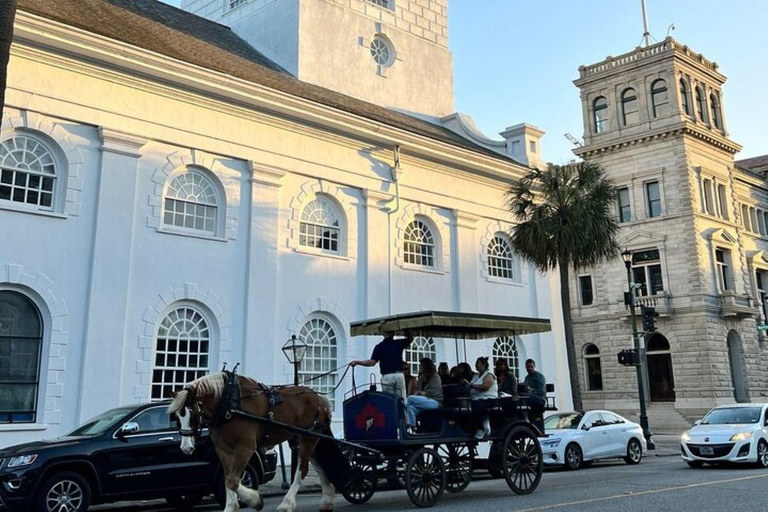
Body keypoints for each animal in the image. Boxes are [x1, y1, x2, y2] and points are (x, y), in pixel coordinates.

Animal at [168, 372, 336, 512]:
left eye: (193, 414)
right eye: (176, 417)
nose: (186, 448)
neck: (228, 405)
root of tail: (320, 398)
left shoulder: (245, 448)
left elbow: (233, 481)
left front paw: (255, 500)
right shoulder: (223, 450)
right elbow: (227, 478)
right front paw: (231, 507)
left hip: (309, 438)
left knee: (302, 470)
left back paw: (286, 504)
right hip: (305, 439)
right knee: (319, 466)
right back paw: (327, 499)